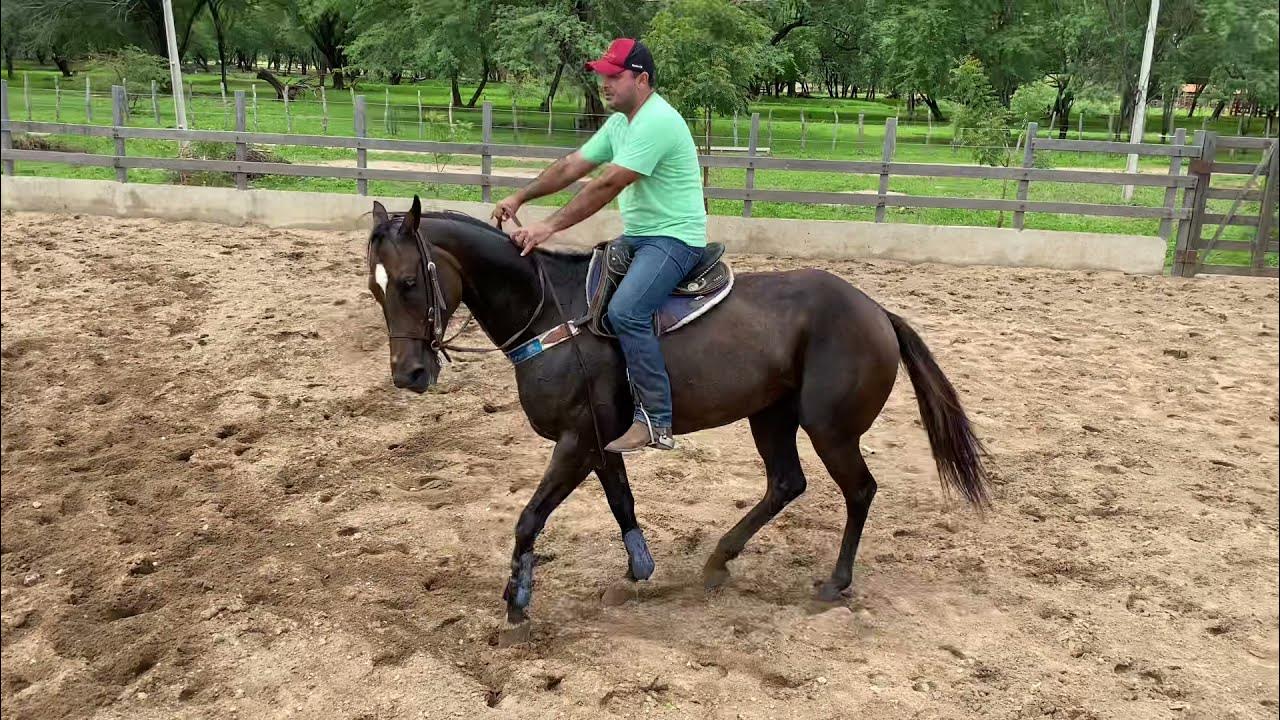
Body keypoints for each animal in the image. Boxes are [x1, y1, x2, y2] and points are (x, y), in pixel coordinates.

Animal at [366, 196, 983, 622]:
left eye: (409, 281)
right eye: (375, 290)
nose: (409, 375)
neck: (552, 313)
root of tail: (876, 310)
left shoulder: (575, 441)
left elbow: (530, 516)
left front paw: (518, 598)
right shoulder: (599, 441)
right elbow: (621, 502)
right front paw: (640, 569)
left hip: (829, 428)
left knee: (859, 490)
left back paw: (835, 581)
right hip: (770, 415)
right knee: (786, 483)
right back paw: (718, 560)